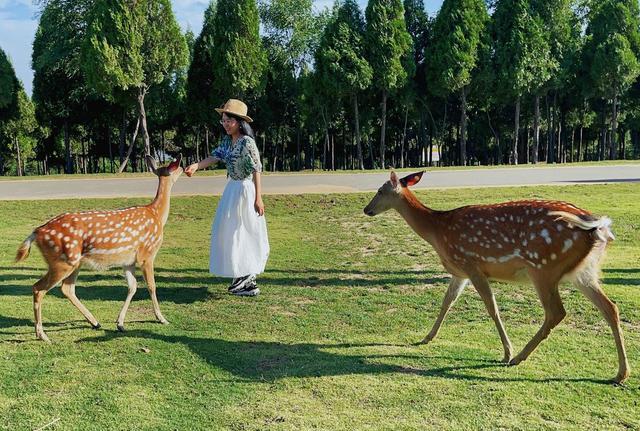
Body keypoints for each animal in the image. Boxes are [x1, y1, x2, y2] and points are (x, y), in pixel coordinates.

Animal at [15, 157, 184, 342]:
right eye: (178, 167)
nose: (186, 168)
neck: (157, 215)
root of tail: (37, 232)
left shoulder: (128, 261)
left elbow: (132, 287)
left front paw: (120, 323)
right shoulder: (147, 253)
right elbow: (151, 286)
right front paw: (161, 318)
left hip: (74, 262)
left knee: (67, 288)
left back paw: (94, 322)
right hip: (63, 261)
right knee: (38, 288)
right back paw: (42, 335)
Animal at [364, 170, 632, 384]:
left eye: (379, 190)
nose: (366, 209)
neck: (438, 231)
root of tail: (599, 226)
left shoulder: (472, 264)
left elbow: (492, 308)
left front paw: (506, 351)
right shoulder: (460, 271)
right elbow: (447, 302)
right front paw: (426, 337)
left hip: (543, 267)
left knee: (556, 312)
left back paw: (518, 357)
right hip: (584, 272)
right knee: (610, 308)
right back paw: (621, 373)